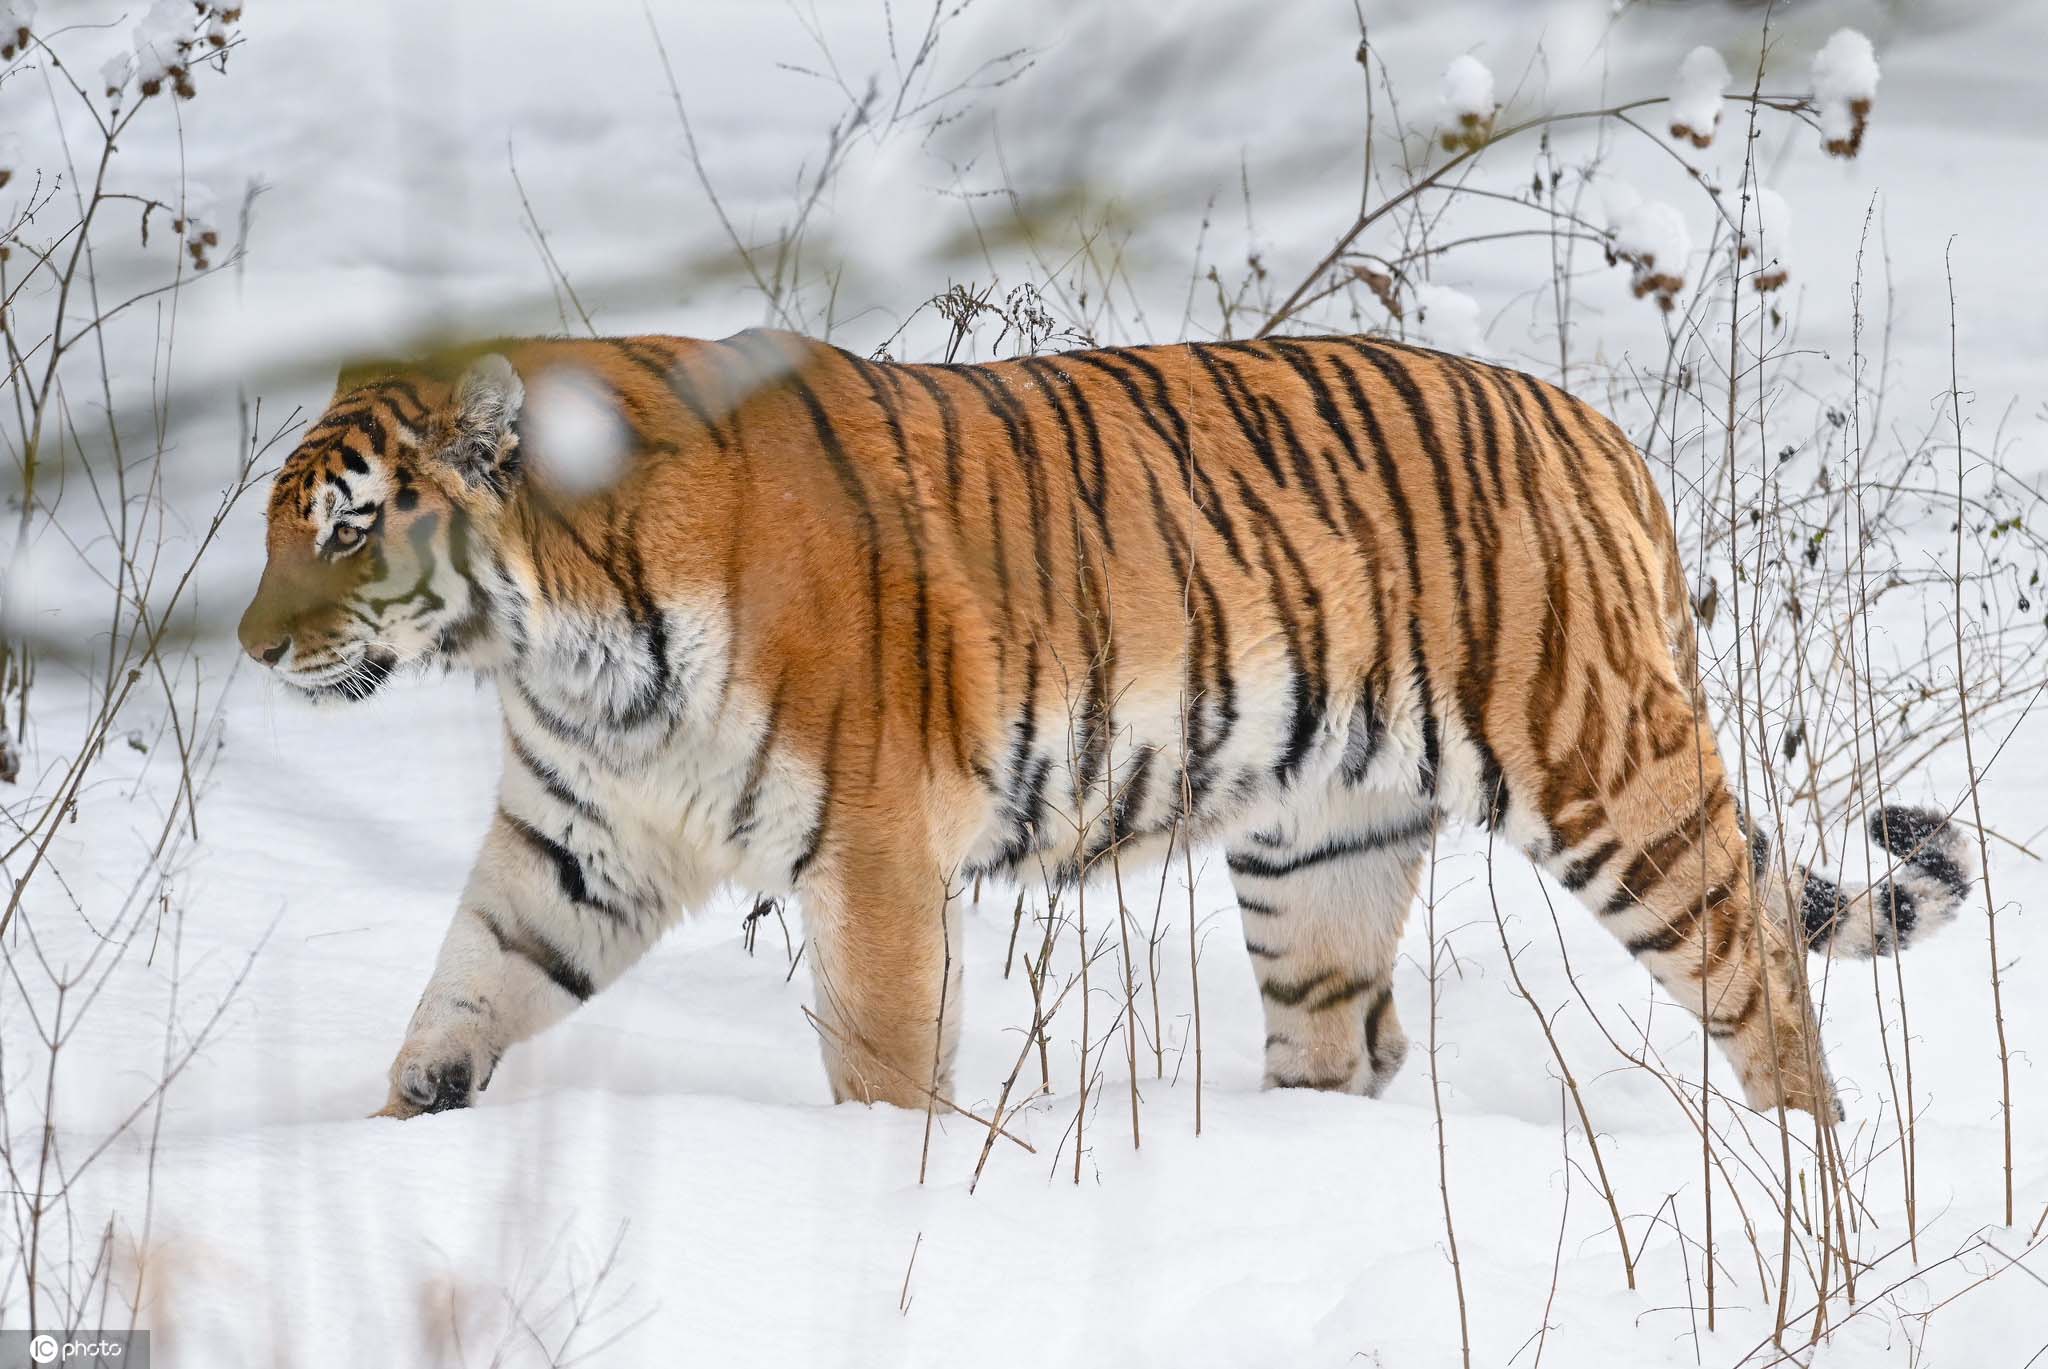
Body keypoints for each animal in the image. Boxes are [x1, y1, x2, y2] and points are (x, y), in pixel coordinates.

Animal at [232, 332, 1974, 1123]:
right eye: (275, 525)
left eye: (348, 531)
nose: (250, 650)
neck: (563, 643)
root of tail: (1594, 423)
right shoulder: (572, 847)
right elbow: (458, 1003)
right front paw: (392, 1146)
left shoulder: (872, 858)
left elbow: (882, 1060)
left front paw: (879, 1197)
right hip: (1319, 847)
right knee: (1340, 1032)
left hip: (1608, 774)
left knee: (1759, 958)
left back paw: (1803, 1183)